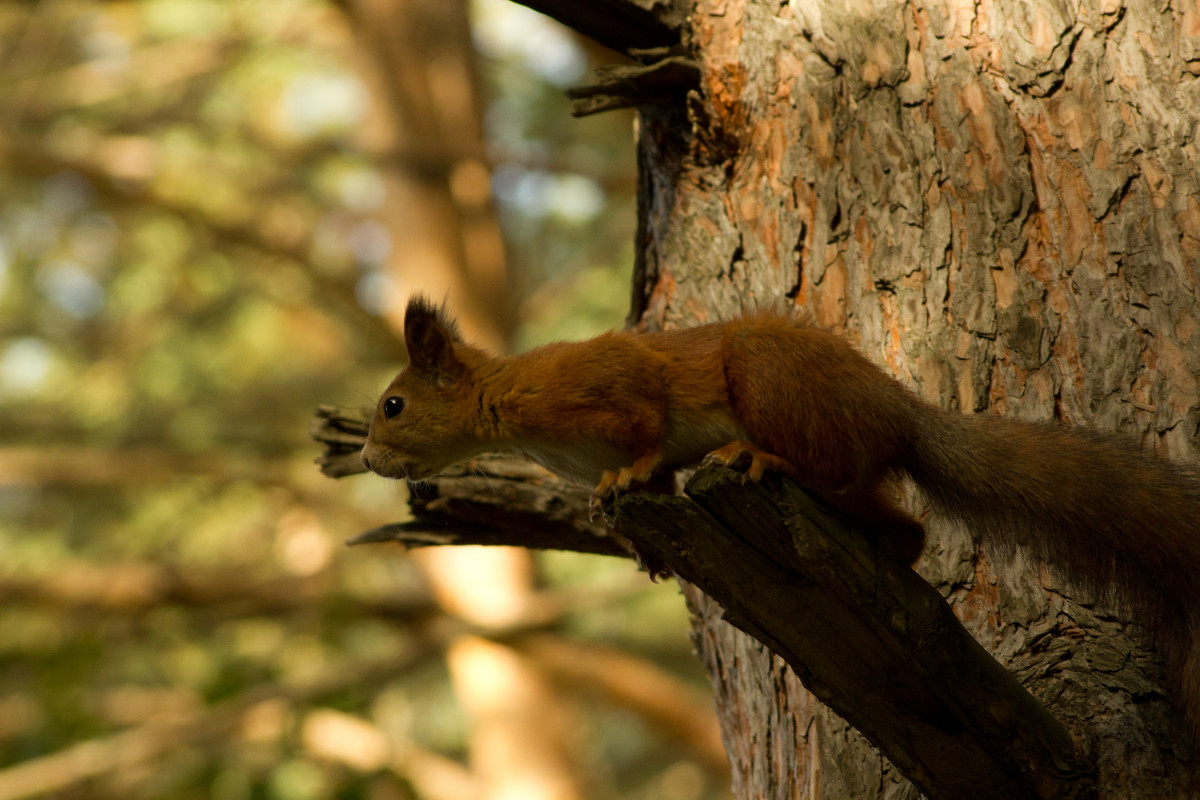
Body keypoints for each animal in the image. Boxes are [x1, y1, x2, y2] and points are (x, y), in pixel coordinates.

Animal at [360, 296, 1200, 738]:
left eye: (393, 405)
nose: (366, 459)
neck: (507, 405)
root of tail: (900, 415)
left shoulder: (612, 391)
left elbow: (645, 432)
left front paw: (623, 479)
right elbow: (655, 476)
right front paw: (635, 533)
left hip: (771, 377)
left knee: (820, 465)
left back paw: (763, 460)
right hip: (851, 475)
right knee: (903, 523)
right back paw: (888, 548)